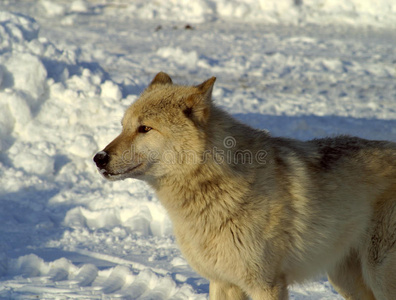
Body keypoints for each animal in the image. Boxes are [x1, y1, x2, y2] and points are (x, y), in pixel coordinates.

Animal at [94, 72, 396, 300]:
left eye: (144, 128)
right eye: (123, 127)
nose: (98, 158)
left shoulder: (267, 285)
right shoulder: (222, 282)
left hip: (377, 276)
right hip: (345, 280)